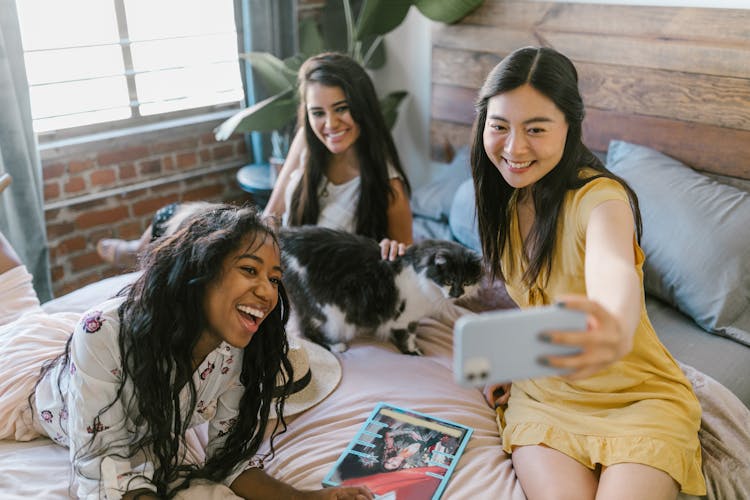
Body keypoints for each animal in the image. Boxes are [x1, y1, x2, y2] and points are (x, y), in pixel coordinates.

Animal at [280, 227, 484, 356]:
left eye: (467, 281)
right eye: (449, 280)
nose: (457, 294)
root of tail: (285, 239)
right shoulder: (405, 318)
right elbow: (407, 336)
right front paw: (413, 352)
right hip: (329, 313)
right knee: (307, 330)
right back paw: (337, 346)